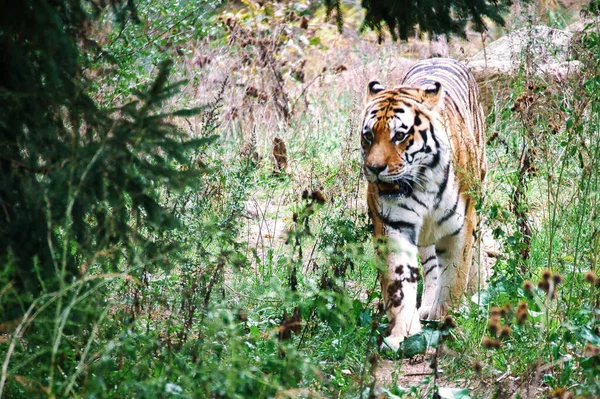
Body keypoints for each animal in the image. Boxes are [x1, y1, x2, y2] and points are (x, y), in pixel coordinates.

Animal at [360, 57, 488, 352]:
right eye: (369, 136)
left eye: (399, 136)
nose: (374, 169)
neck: (422, 182)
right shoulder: (393, 226)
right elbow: (399, 285)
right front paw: (402, 335)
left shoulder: (460, 228)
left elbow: (453, 280)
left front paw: (446, 324)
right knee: (431, 269)